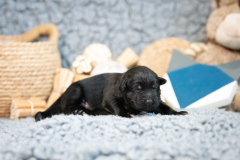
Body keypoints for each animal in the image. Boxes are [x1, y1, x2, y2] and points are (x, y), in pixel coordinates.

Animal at [34, 66, 188, 121]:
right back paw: (77, 112)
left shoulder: (157, 101)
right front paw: (126, 115)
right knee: (66, 109)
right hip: (75, 91)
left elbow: (165, 107)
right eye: (138, 88)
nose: (149, 101)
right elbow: (117, 106)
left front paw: (178, 113)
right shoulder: (110, 98)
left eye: (155, 87)